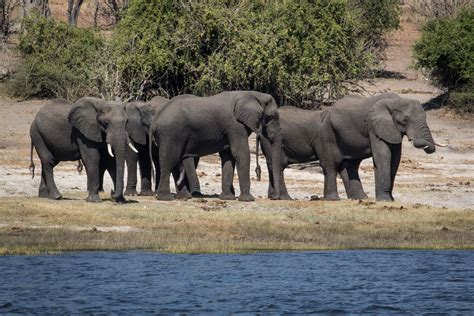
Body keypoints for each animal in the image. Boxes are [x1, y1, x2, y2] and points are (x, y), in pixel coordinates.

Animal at [151, 90, 282, 201]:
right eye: (272, 117)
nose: (274, 197)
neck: (254, 94)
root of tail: (156, 120)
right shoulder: (235, 126)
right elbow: (240, 153)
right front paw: (248, 200)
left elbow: (228, 156)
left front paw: (227, 198)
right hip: (170, 133)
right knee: (169, 161)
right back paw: (166, 198)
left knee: (175, 163)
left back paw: (185, 197)